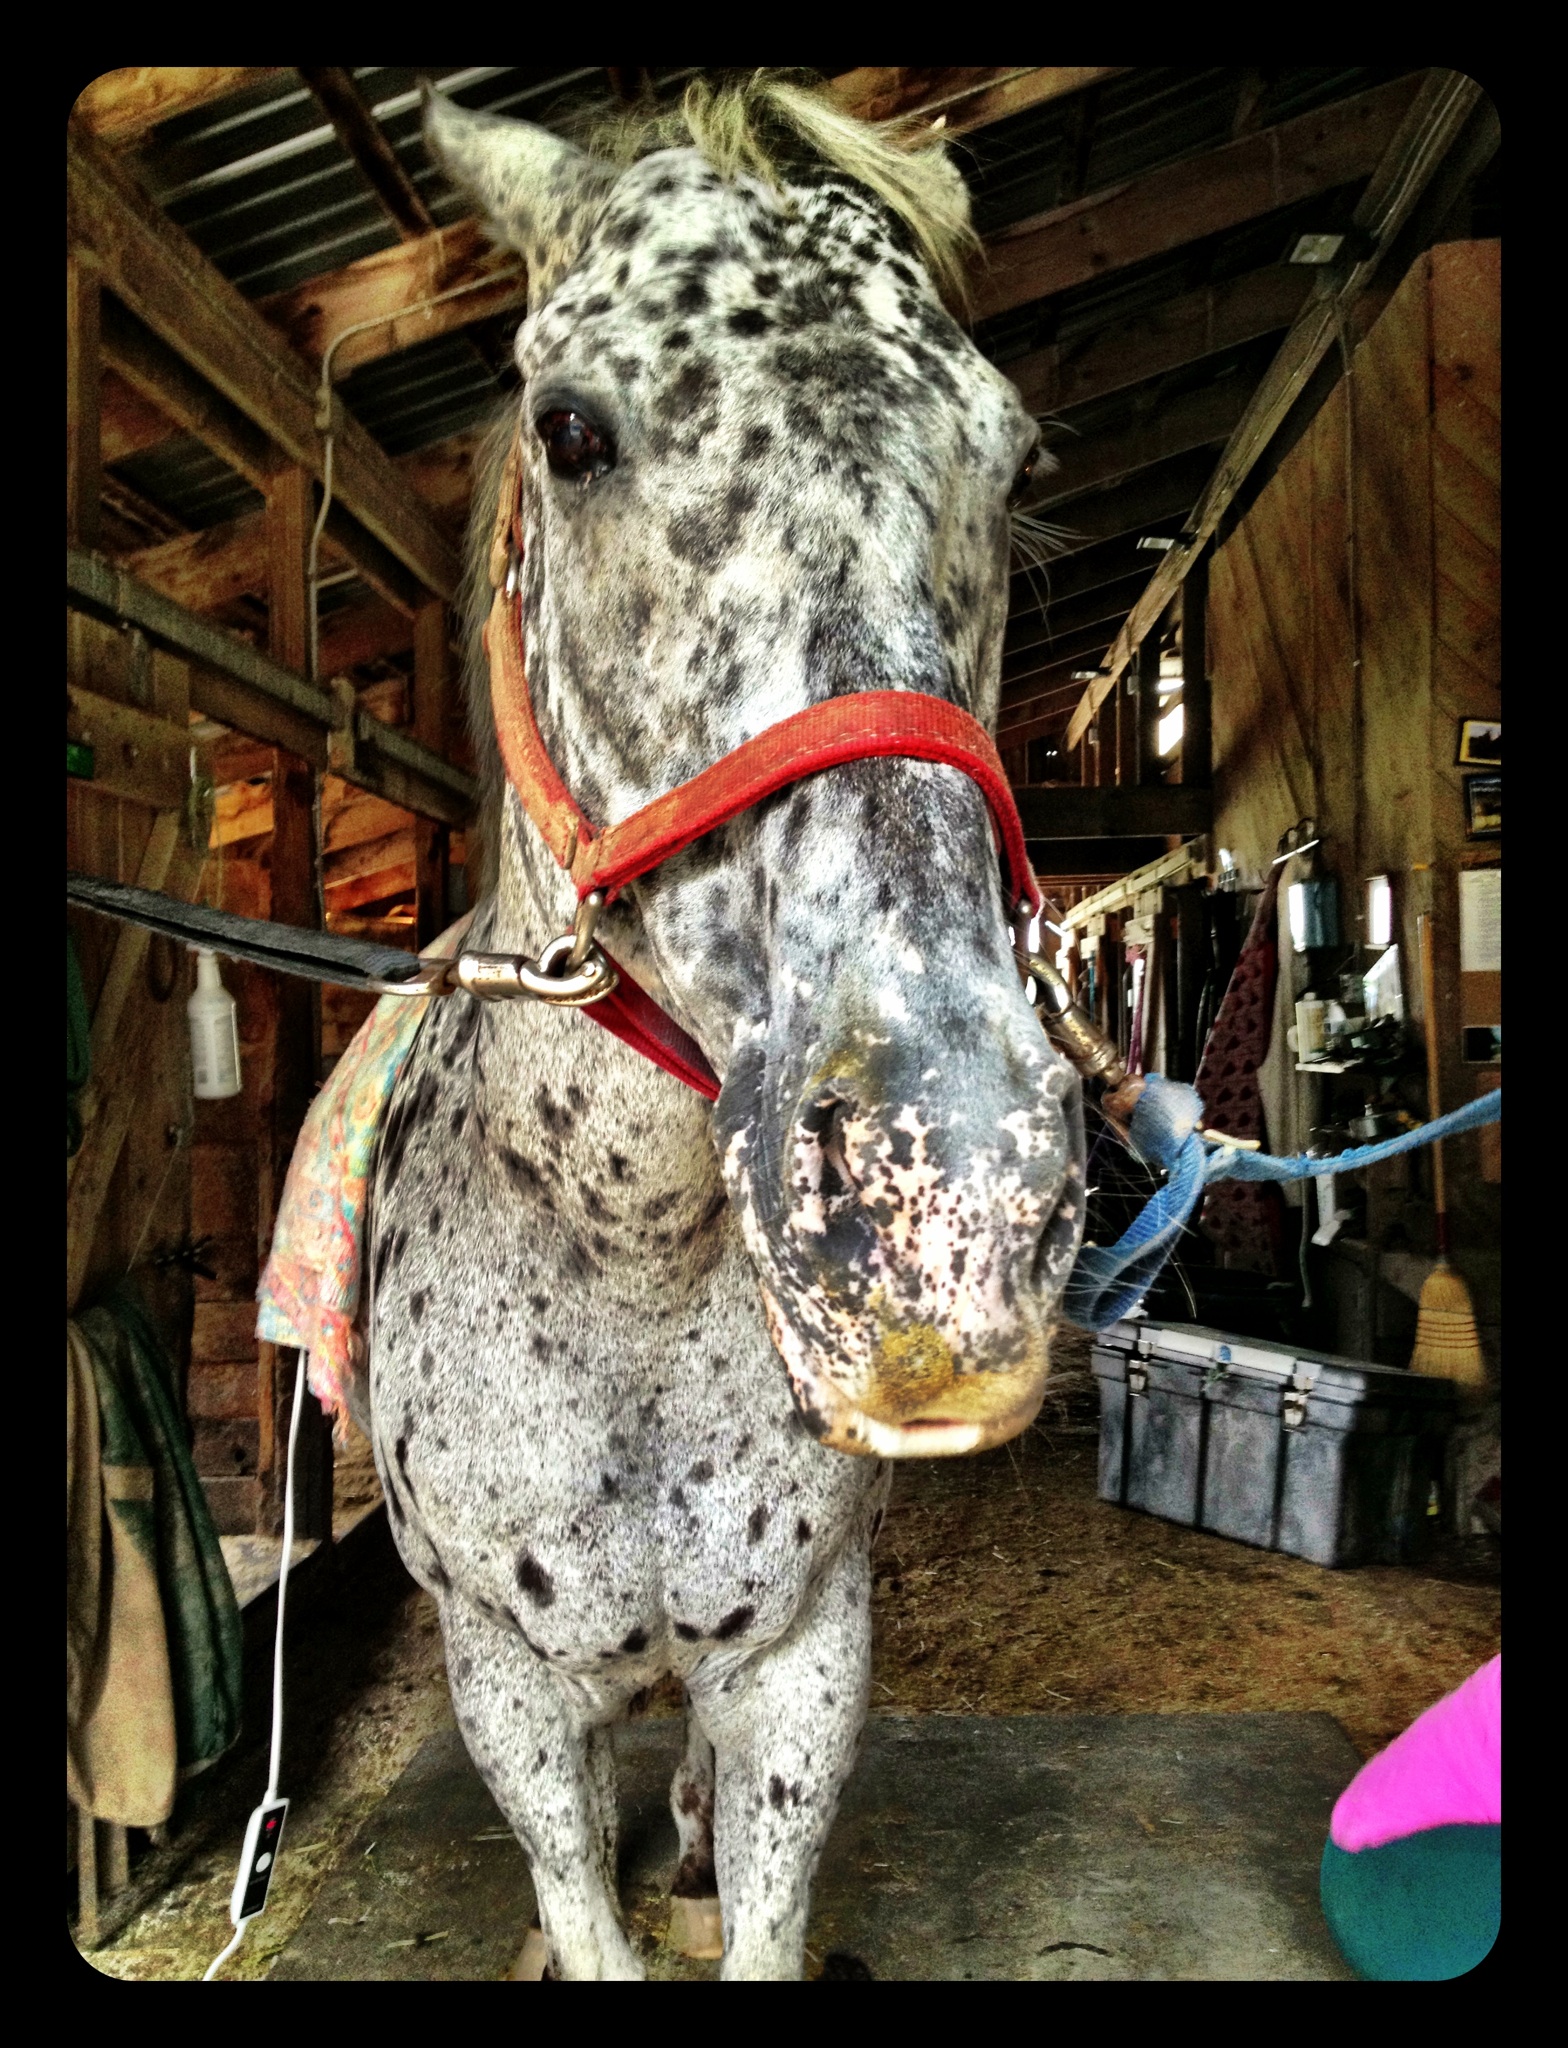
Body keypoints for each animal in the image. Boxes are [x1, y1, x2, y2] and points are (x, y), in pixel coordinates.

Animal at [355, 74, 1086, 1980]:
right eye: (568, 428)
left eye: (1014, 460)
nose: (945, 1202)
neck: (617, 1255)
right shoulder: (508, 1695)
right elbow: (580, 1893)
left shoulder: (800, 1666)